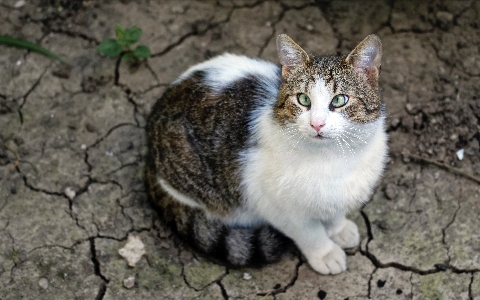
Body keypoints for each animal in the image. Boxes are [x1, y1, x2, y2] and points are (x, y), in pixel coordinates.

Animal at [145, 33, 386, 274]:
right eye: (303, 99)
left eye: (339, 100)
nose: (317, 124)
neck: (334, 157)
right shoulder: (272, 203)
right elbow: (309, 233)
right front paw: (325, 253)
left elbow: (334, 211)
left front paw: (339, 228)